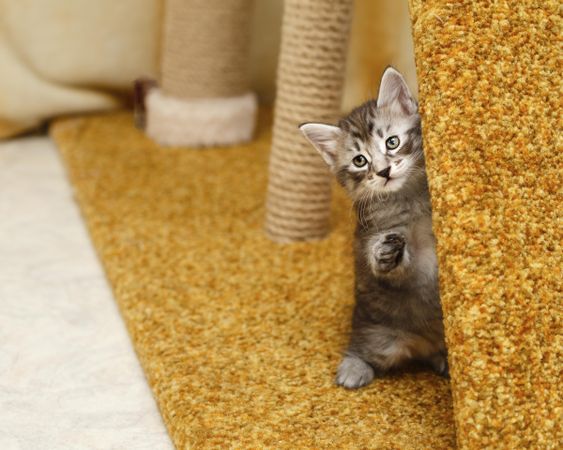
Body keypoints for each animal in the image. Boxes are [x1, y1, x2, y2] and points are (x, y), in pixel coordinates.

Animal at [298, 67, 448, 390]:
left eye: (392, 142)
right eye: (359, 160)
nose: (383, 171)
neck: (408, 198)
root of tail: (422, 344)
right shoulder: (375, 234)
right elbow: (393, 262)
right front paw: (385, 252)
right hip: (377, 336)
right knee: (361, 349)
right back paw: (352, 370)